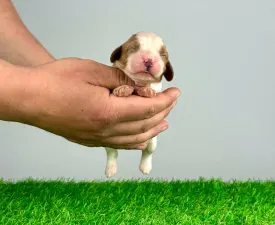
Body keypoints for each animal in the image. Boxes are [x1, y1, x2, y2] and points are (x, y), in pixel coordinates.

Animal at [104, 31, 174, 178]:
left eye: (163, 55)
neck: (137, 81)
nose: (149, 60)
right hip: (108, 142)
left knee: (147, 153)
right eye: (133, 48)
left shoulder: (156, 86)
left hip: (152, 141)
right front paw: (123, 88)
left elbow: (152, 86)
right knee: (112, 153)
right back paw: (110, 170)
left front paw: (147, 90)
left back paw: (145, 167)